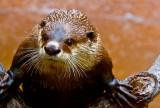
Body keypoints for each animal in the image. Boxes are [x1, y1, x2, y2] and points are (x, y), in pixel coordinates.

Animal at [0, 9, 137, 107]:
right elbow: (17, 68)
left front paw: (116, 88)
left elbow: (106, 74)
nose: (51, 49)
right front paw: (7, 84)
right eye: (45, 36)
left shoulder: (100, 57)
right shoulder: (26, 47)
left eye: (70, 41)